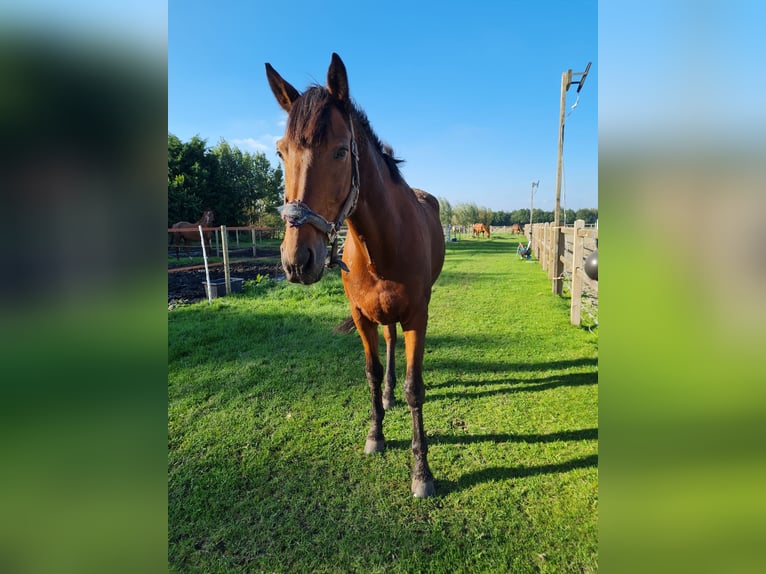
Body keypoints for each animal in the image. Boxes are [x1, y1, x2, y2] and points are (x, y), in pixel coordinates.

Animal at [268, 51, 448, 498]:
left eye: (340, 152)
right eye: (281, 152)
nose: (297, 261)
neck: (381, 244)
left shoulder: (417, 316)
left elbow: (415, 388)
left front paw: (422, 472)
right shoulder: (362, 316)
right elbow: (372, 372)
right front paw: (376, 435)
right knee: (388, 343)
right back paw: (386, 398)